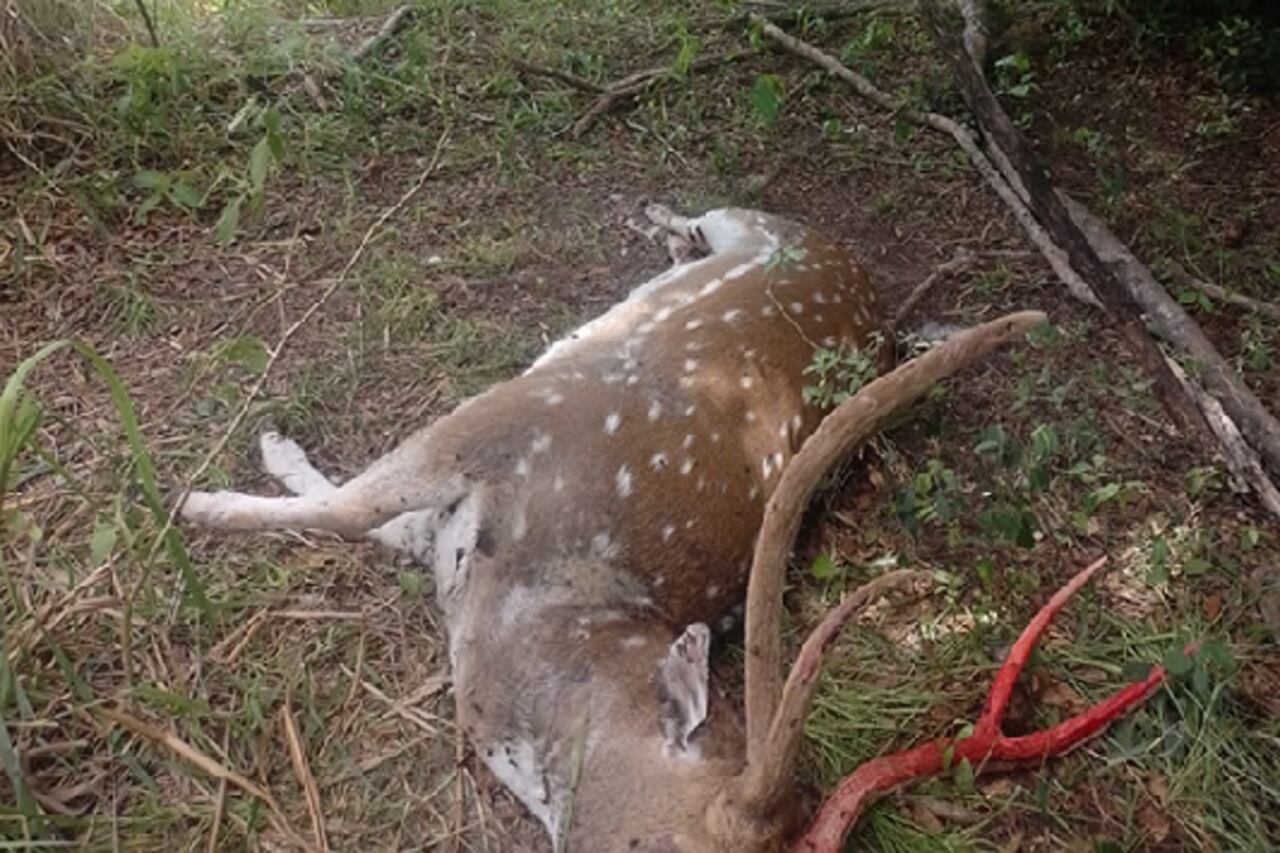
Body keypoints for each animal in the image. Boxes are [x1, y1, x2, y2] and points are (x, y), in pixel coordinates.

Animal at [178, 205, 1171, 851]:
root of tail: (868, 288)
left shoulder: (449, 535)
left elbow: (360, 514)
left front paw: (240, 472)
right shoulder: (511, 419)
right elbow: (351, 504)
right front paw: (207, 493)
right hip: (760, 228)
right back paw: (663, 219)